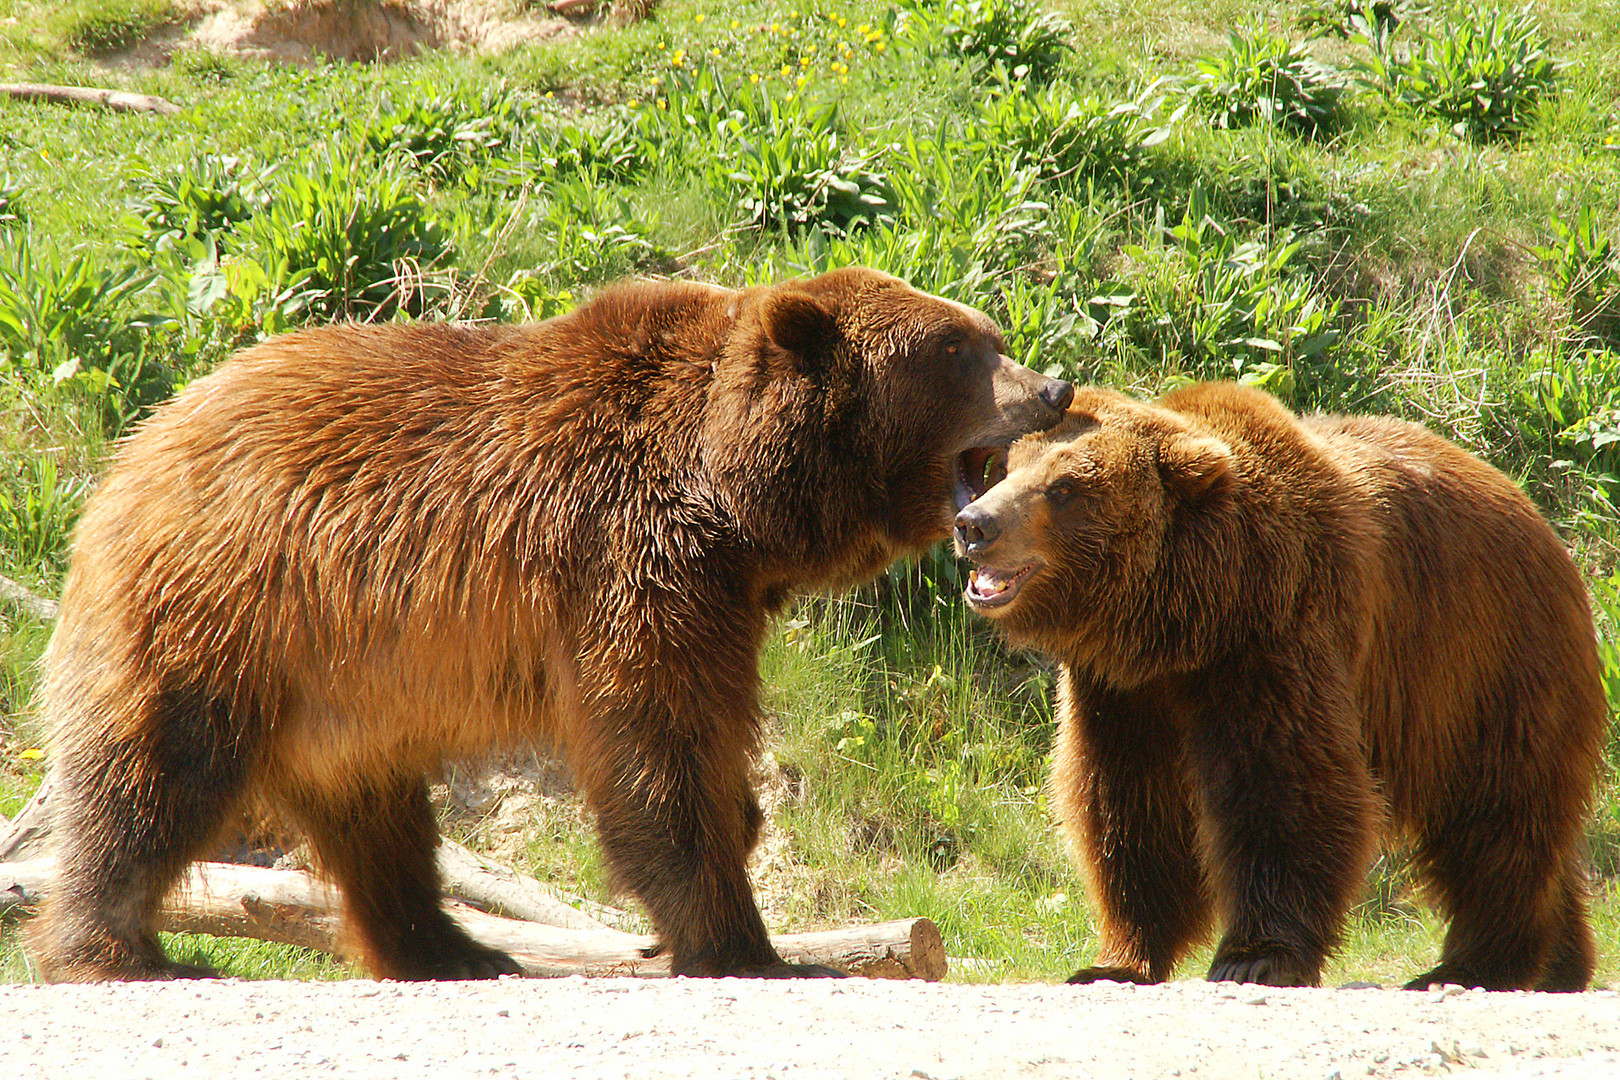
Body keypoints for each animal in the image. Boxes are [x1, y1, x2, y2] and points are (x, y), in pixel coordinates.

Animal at [34, 268, 1075, 977]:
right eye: (955, 349)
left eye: (986, 333)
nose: (1054, 387)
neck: (732, 497)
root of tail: (139, 446)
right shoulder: (630, 552)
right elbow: (656, 736)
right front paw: (741, 938)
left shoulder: (722, 592)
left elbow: (701, 729)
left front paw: (739, 846)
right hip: (229, 606)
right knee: (155, 770)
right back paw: (116, 950)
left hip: (346, 687)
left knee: (377, 819)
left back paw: (450, 949)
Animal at [952, 383, 1600, 990]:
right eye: (1007, 468)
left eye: (1064, 488)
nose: (974, 524)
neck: (1186, 619)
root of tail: (1533, 511)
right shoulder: (1121, 692)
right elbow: (1130, 808)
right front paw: (1117, 960)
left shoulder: (1276, 638)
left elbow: (1283, 788)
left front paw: (1253, 957)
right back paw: (1561, 963)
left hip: (1485, 666)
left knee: (1497, 817)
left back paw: (1475, 964)